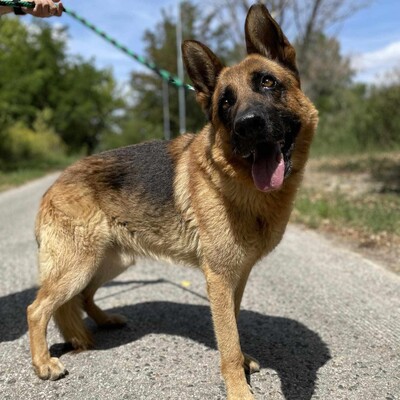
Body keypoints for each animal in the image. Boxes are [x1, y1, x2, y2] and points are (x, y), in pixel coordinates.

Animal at [26, 3, 318, 400]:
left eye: (268, 83)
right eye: (226, 102)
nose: (248, 124)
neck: (239, 183)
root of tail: (53, 185)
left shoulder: (236, 277)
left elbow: (233, 326)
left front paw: (243, 363)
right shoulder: (219, 279)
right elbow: (227, 340)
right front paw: (239, 387)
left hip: (111, 262)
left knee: (81, 298)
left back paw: (101, 323)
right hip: (78, 265)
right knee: (37, 308)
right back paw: (44, 363)